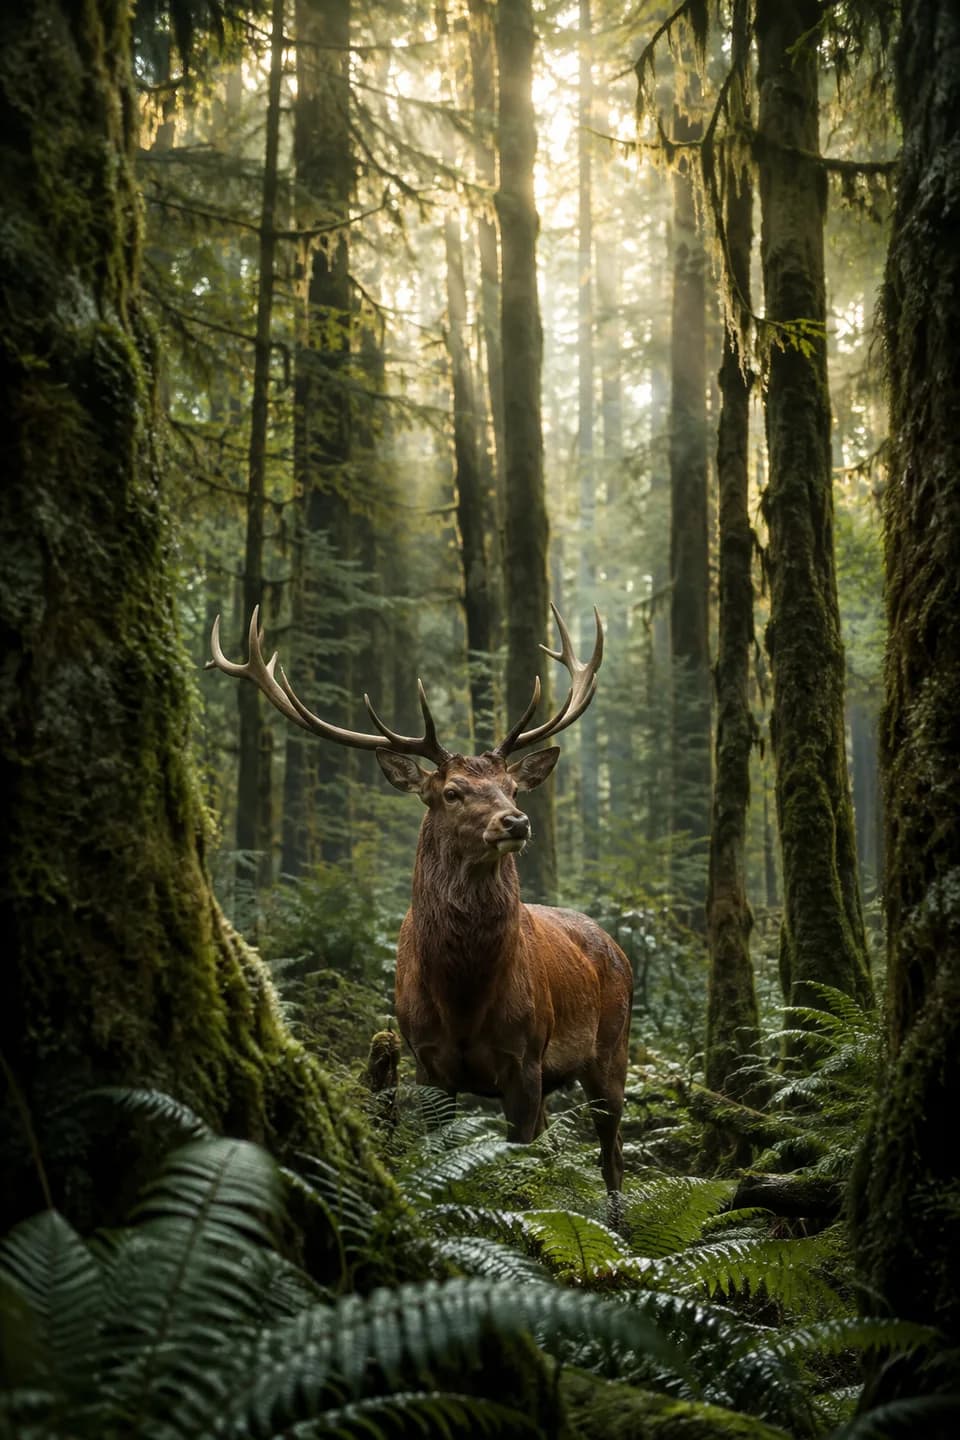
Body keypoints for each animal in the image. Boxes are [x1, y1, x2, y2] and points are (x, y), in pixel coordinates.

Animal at [207, 604, 634, 1195]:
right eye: (451, 792)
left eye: (513, 788)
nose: (516, 822)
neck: (463, 996)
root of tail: (616, 947)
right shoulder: (428, 1062)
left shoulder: (525, 1058)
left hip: (613, 1051)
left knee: (613, 1157)